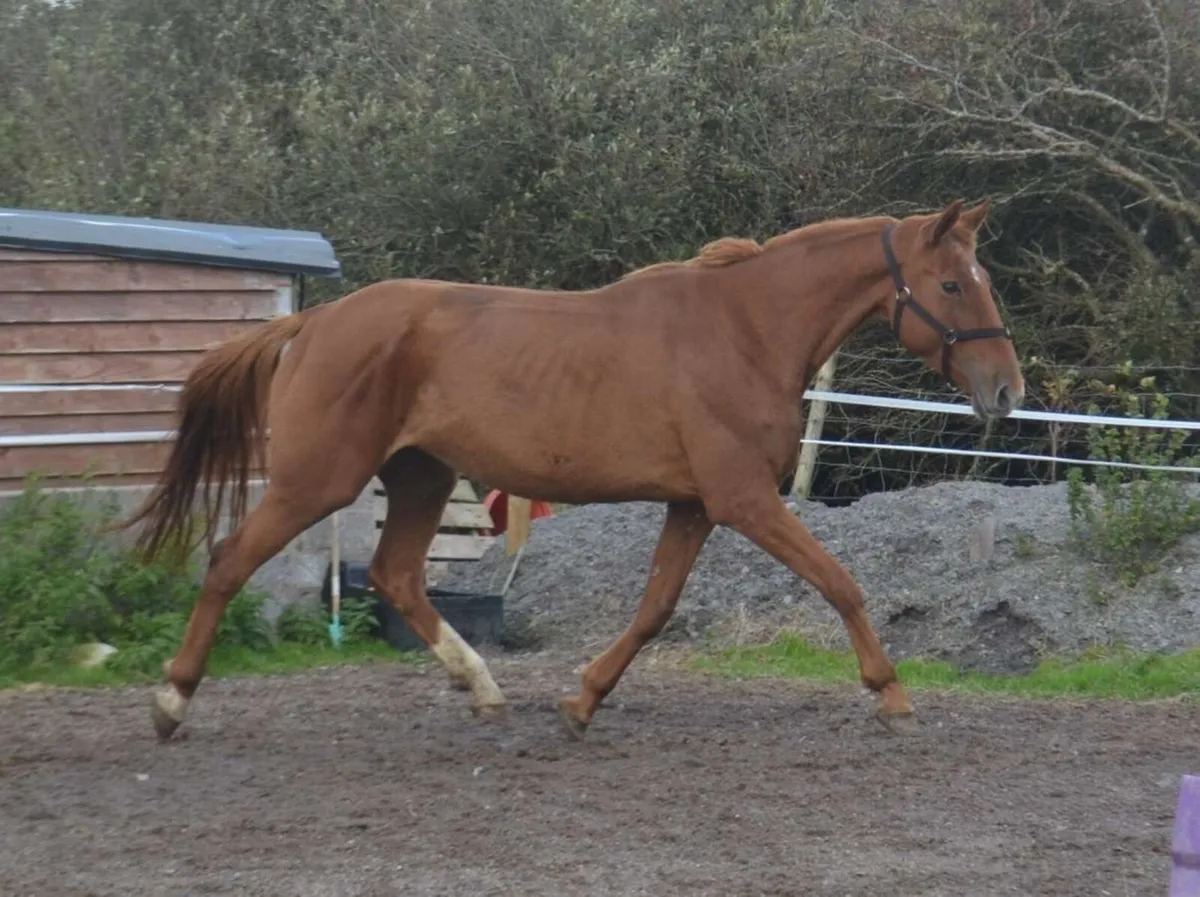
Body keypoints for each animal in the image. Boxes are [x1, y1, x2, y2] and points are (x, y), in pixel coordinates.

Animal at [118, 198, 1023, 742]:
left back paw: (483, 687)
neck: (745, 331)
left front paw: (582, 699)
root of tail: (315, 321)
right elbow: (841, 582)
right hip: (320, 479)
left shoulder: (695, 504)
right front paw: (892, 693)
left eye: (982, 279)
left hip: (420, 476)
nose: (1006, 391)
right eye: (952, 282)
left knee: (398, 574)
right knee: (230, 560)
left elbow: (655, 609)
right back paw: (168, 702)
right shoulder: (742, 498)